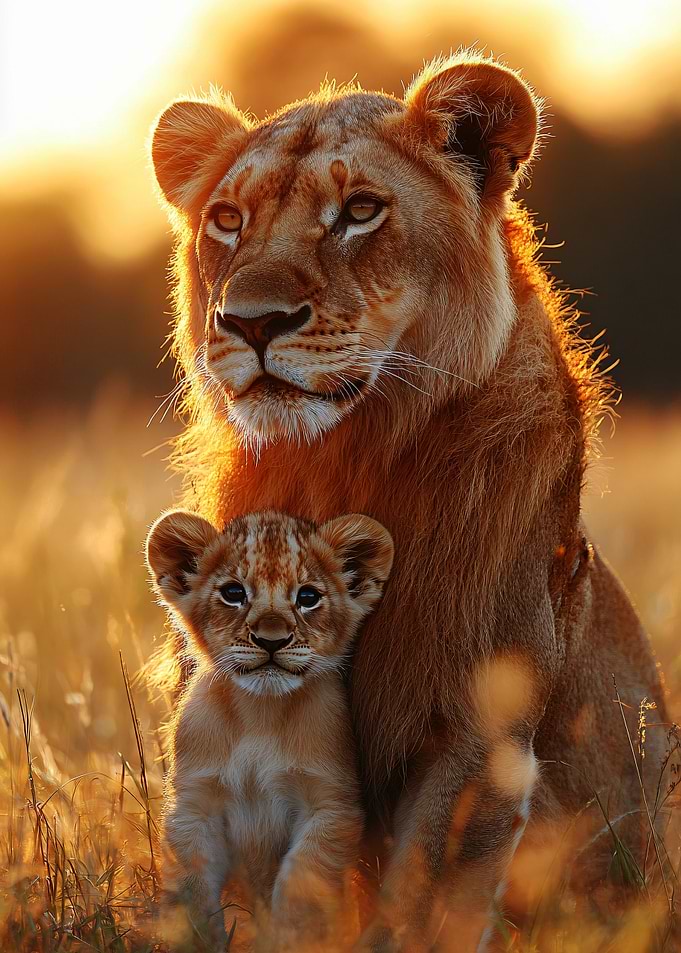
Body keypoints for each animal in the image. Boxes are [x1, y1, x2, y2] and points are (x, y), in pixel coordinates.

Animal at [149, 53, 670, 950]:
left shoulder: (476, 730)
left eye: (360, 211)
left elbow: (418, 900)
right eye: (226, 219)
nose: (250, 321)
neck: (342, 458)